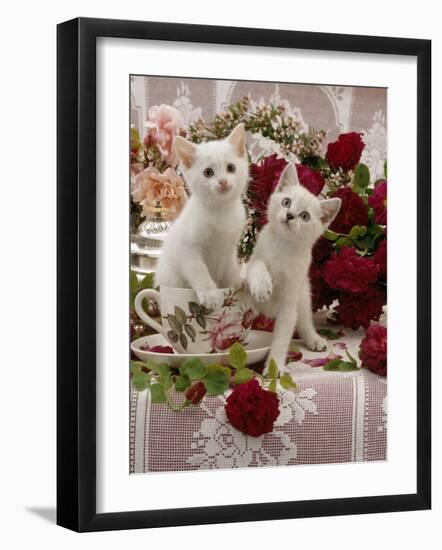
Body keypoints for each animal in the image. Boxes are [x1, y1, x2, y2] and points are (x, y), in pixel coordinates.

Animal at [155, 123, 249, 310]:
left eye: (231, 168)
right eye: (208, 172)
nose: (223, 181)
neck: (221, 211)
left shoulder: (229, 249)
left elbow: (230, 267)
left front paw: (236, 280)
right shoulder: (187, 249)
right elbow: (198, 271)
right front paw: (210, 294)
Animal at [245, 164, 342, 376]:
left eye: (304, 216)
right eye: (286, 202)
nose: (289, 215)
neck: (283, 246)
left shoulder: (289, 300)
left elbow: (282, 337)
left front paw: (275, 366)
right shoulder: (252, 261)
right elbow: (258, 266)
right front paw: (262, 287)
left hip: (304, 293)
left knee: (304, 319)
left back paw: (314, 339)